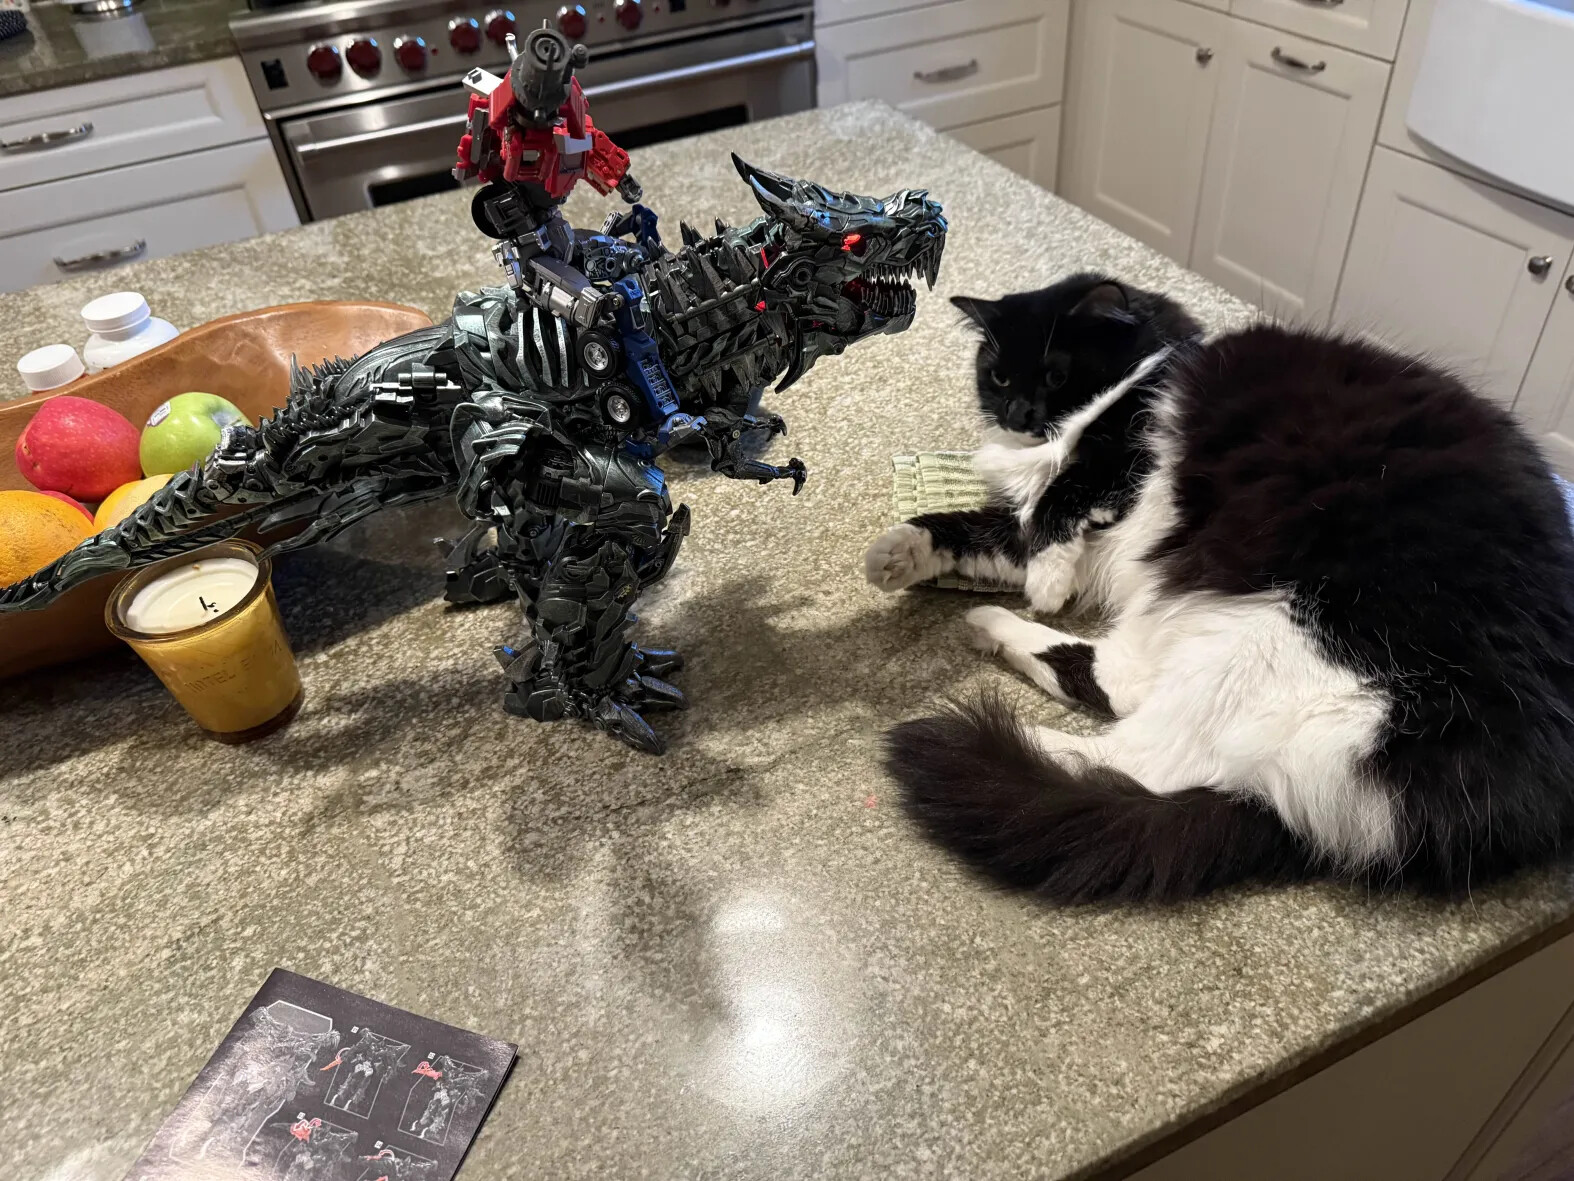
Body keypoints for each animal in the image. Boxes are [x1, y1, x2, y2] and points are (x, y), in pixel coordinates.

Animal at [865, 271, 1574, 903]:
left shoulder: (1127, 448)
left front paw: (1045, 582)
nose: (1019, 412)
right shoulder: (1065, 528)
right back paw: (987, 628)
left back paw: (995, 718)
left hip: (1289, 632)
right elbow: (973, 532)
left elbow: (1064, 495)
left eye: (1057, 375)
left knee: (1135, 748)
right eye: (1000, 377)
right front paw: (894, 555)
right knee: (1123, 693)